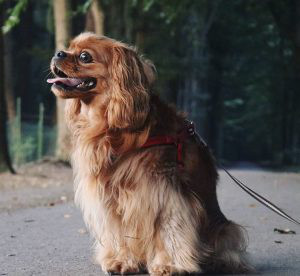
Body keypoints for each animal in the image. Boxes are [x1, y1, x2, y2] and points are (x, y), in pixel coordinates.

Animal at [48, 31, 251, 274]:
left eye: (85, 56)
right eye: (69, 48)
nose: (58, 53)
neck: (111, 128)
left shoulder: (162, 193)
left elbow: (169, 230)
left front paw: (169, 265)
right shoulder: (111, 196)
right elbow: (119, 233)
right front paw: (122, 261)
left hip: (225, 228)